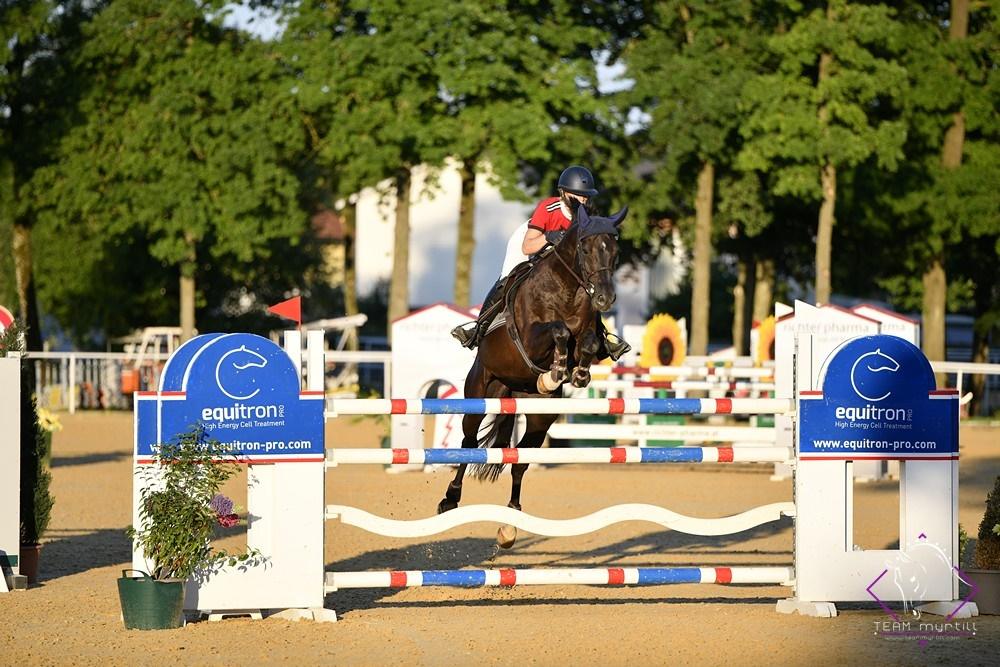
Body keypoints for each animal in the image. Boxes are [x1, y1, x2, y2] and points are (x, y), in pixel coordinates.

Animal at [436, 206, 628, 544]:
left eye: (615, 251)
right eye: (586, 249)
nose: (604, 299)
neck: (568, 290)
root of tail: (511, 388)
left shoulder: (587, 333)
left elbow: (589, 342)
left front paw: (575, 374)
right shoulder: (530, 337)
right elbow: (558, 330)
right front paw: (556, 370)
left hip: (540, 417)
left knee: (519, 463)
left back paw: (510, 525)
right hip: (479, 395)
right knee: (469, 442)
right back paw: (450, 498)